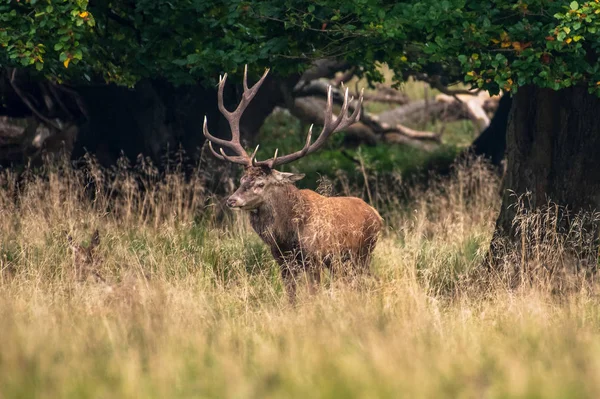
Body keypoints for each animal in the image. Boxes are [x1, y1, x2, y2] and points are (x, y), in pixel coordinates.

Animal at [204, 65, 382, 298]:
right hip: (342, 263)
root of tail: (377, 216)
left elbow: (313, 293)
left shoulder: (314, 258)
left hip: (362, 254)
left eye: (261, 184)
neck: (287, 237)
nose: (232, 200)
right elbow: (291, 296)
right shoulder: (282, 260)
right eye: (242, 179)